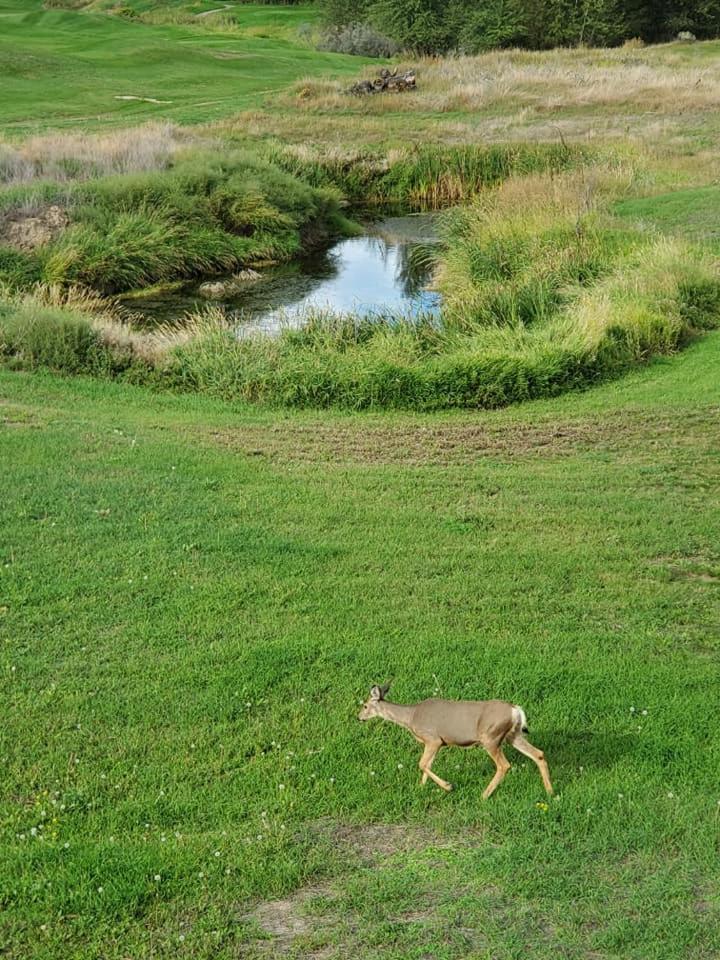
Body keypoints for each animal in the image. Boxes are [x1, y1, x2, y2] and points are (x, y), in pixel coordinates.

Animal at [358, 684, 556, 804]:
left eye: (365, 705)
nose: (359, 717)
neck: (411, 717)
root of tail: (516, 710)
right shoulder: (436, 743)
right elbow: (426, 765)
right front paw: (421, 788)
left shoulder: (433, 738)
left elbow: (421, 763)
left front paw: (448, 786)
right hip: (512, 735)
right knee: (538, 754)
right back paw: (550, 792)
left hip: (490, 737)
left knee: (504, 765)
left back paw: (483, 796)